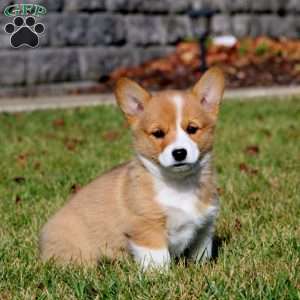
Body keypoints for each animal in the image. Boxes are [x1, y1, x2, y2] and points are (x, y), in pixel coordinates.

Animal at [38, 67, 224, 270]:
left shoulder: (204, 228)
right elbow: (158, 259)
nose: (179, 153)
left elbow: (201, 253)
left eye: (192, 129)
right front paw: (160, 275)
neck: (179, 185)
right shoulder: (146, 227)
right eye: (158, 133)